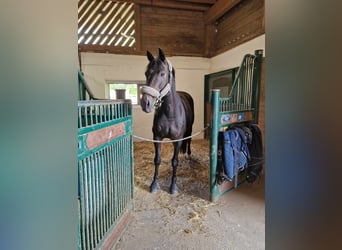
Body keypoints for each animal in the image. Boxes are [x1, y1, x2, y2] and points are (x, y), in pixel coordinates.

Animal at [140, 47, 194, 194]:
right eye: (146, 73)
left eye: (162, 74)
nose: (145, 103)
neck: (169, 113)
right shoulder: (157, 137)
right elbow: (157, 160)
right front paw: (154, 184)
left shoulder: (178, 140)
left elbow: (174, 161)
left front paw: (173, 186)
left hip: (189, 130)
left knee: (189, 141)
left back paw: (188, 155)